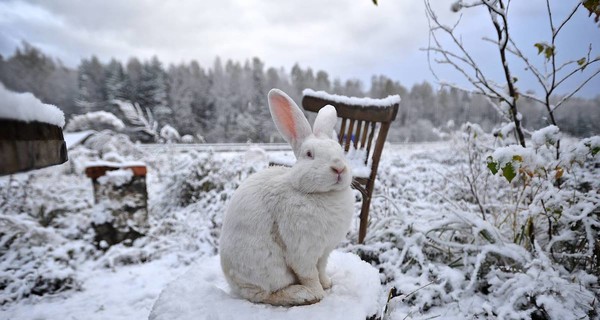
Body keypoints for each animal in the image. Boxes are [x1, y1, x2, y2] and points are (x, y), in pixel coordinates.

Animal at [218, 89, 354, 306]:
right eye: (309, 154)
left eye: (340, 150)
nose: (339, 168)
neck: (320, 194)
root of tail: (234, 284)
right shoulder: (302, 252)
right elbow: (309, 275)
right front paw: (319, 293)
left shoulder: (324, 252)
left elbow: (321, 269)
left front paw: (327, 284)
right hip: (269, 269)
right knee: (266, 294)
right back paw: (302, 294)